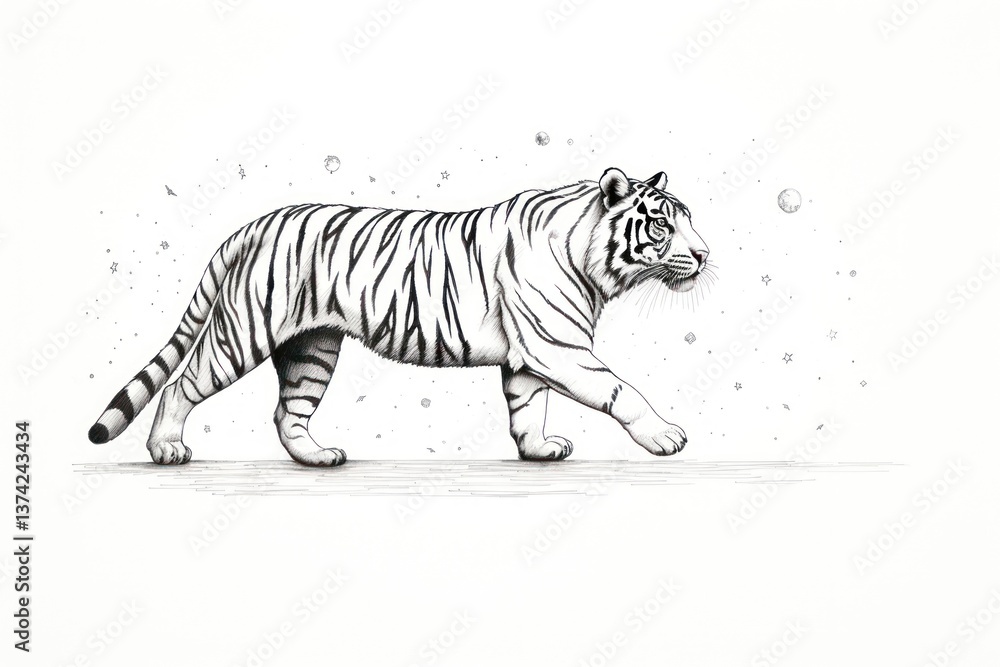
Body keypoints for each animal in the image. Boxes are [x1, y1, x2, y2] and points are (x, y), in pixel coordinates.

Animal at [88, 167, 711, 466]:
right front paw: (667, 436)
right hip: (242, 333)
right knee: (181, 384)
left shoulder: (528, 356)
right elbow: (622, 391)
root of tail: (254, 224)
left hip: (312, 348)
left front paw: (539, 450)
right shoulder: (557, 348)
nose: (706, 255)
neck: (590, 260)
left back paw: (318, 458)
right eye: (662, 223)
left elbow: (527, 408)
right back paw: (167, 450)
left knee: (288, 412)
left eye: (686, 219)